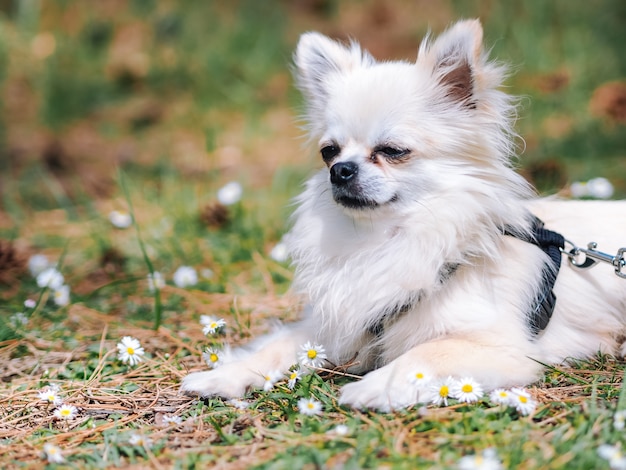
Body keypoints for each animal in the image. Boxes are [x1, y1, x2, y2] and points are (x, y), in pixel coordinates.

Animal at [182, 20, 624, 410]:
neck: (384, 238)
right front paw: (226, 374)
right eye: (328, 152)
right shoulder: (334, 324)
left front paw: (377, 385)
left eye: (392, 151)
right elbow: (276, 347)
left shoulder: (499, 346)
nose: (340, 170)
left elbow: (424, 355)